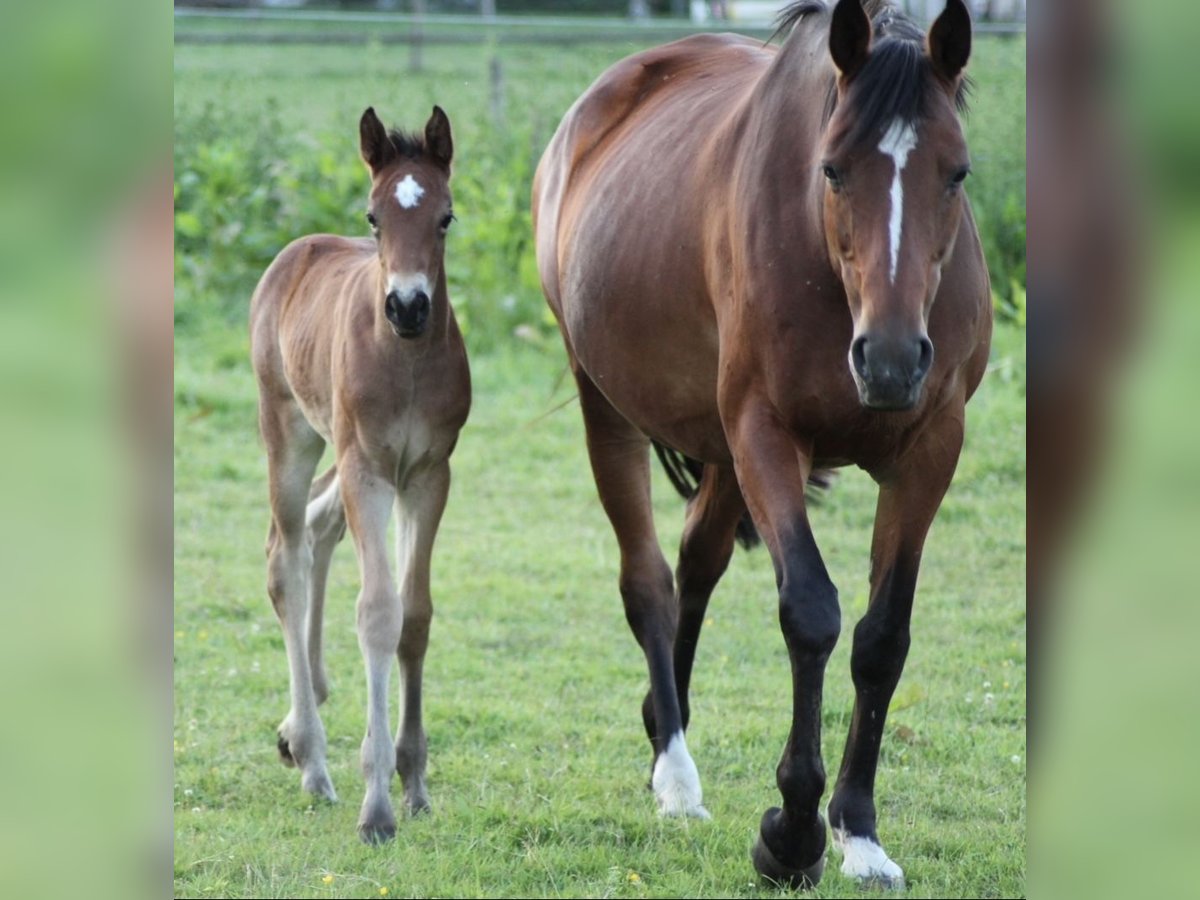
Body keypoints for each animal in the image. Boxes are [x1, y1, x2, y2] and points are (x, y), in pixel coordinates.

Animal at [249, 106, 469, 843]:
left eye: (446, 217)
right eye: (374, 216)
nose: (408, 306)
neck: (404, 358)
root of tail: (298, 251)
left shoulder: (427, 473)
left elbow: (415, 614)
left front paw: (415, 782)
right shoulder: (369, 469)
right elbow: (377, 612)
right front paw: (377, 806)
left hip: (343, 460)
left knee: (318, 532)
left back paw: (302, 722)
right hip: (291, 430)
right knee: (285, 557)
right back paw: (313, 761)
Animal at [533, 0, 991, 888]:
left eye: (956, 173)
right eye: (832, 170)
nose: (889, 360)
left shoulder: (930, 450)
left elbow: (883, 638)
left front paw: (858, 832)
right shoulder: (765, 435)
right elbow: (810, 612)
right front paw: (792, 833)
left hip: (717, 449)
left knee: (696, 564)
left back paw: (662, 726)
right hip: (611, 410)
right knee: (649, 581)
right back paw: (676, 774)